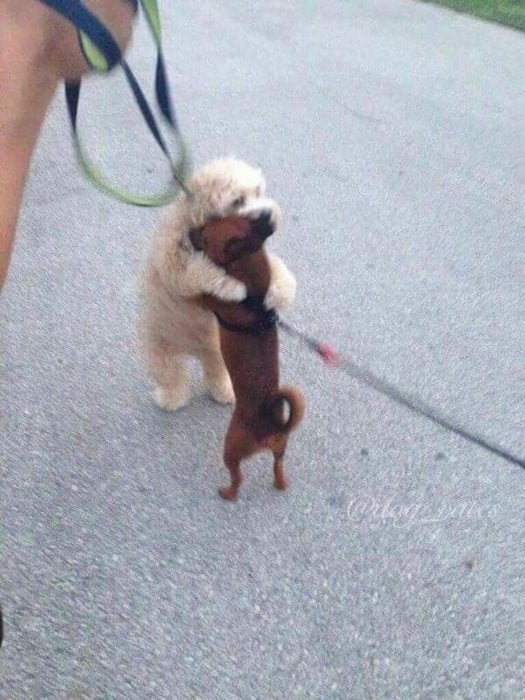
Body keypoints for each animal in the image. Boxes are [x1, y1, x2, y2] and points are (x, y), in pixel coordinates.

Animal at [140, 159, 294, 410]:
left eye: (258, 192)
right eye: (238, 201)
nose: (268, 213)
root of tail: (193, 350)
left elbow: (276, 267)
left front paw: (281, 290)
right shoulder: (175, 266)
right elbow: (200, 271)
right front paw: (232, 287)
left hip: (216, 351)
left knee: (216, 373)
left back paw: (225, 392)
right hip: (160, 349)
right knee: (171, 376)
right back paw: (171, 398)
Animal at [189, 211, 302, 500]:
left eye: (205, 236)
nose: (190, 232)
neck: (255, 296)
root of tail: (273, 429)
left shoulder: (205, 299)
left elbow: (201, 293)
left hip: (231, 447)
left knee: (237, 477)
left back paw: (227, 493)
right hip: (280, 451)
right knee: (278, 467)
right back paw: (280, 484)